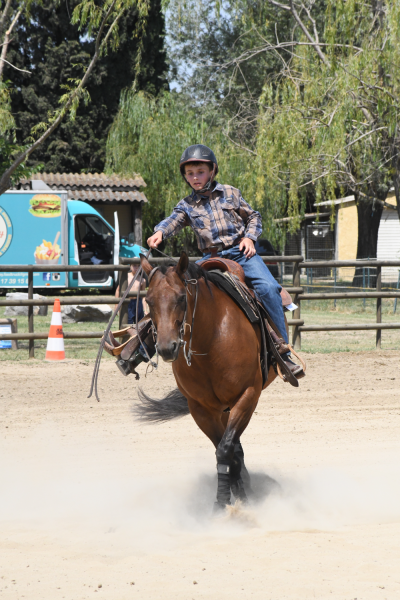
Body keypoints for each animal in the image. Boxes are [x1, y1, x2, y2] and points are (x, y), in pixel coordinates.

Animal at [137, 251, 278, 508]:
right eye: (149, 301)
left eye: (181, 297)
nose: (166, 347)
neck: (211, 340)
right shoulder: (200, 408)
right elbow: (224, 449)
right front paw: (228, 499)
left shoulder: (248, 395)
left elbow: (225, 449)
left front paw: (229, 502)